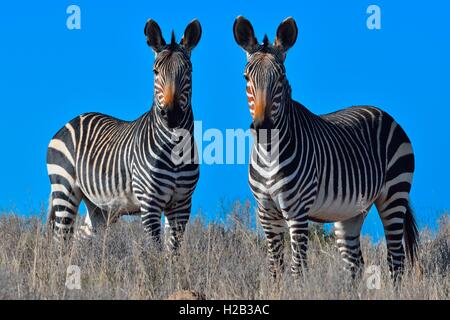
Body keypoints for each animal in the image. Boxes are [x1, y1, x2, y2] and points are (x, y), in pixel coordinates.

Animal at [46, 18, 201, 254]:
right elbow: (155, 251)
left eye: (189, 70)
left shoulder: (182, 203)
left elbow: (173, 252)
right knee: (60, 240)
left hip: (100, 208)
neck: (175, 147)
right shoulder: (150, 202)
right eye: (155, 72)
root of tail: (71, 120)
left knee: (80, 237)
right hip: (64, 188)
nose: (171, 114)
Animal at [234, 15, 420, 280]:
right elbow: (274, 266)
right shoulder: (266, 211)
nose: (263, 127)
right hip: (351, 212)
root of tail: (382, 112)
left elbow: (297, 267)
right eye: (246, 78)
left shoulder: (297, 211)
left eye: (281, 78)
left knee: (396, 260)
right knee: (355, 264)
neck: (270, 153)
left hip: (395, 193)